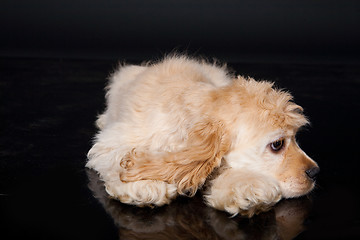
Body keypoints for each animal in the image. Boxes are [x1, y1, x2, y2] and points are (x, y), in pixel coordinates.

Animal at [86, 55, 320, 217]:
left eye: (295, 137)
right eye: (277, 144)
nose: (315, 172)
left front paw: (248, 188)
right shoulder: (111, 141)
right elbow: (119, 159)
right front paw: (144, 185)